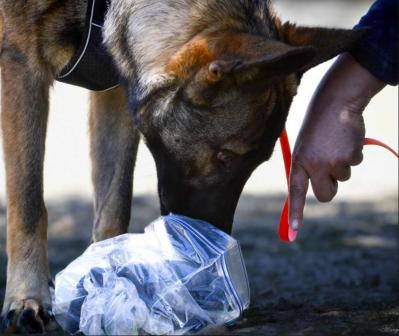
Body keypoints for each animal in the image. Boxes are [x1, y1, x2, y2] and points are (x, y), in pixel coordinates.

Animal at [0, 0, 366, 334]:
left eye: (259, 162)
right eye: (226, 156)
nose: (215, 246)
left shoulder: (114, 86)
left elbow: (114, 204)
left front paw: (107, 278)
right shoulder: (20, 62)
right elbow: (29, 203)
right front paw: (27, 298)